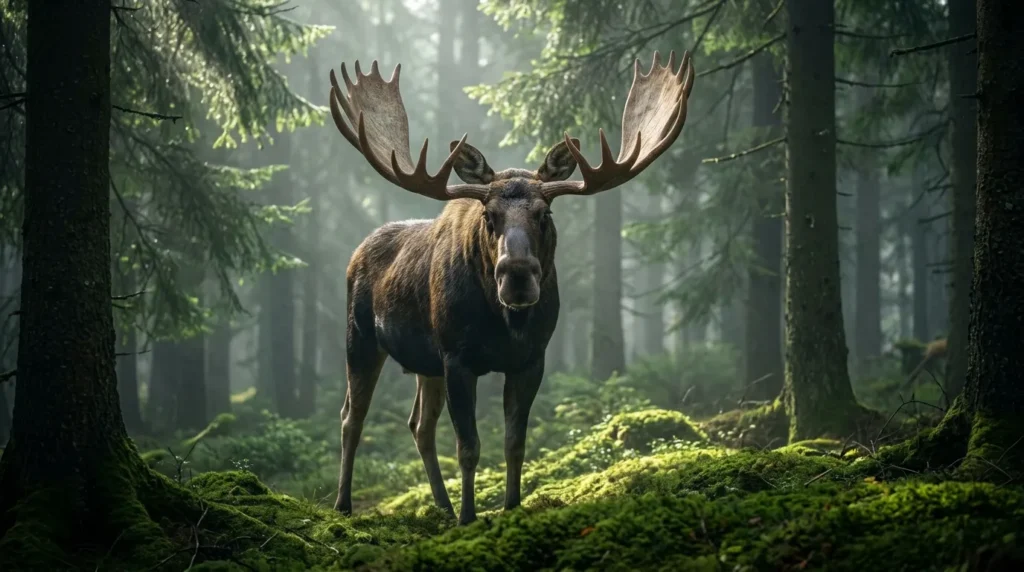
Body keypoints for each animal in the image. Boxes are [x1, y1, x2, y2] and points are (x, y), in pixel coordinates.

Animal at [327, 50, 695, 525]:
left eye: (544, 214)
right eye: (489, 215)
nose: (517, 274)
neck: (505, 326)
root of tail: (356, 253)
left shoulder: (531, 359)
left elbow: (515, 443)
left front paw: (511, 507)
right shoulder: (457, 356)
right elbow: (469, 447)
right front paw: (469, 518)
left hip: (425, 363)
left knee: (419, 425)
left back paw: (441, 506)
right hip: (361, 338)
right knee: (351, 416)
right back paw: (344, 504)